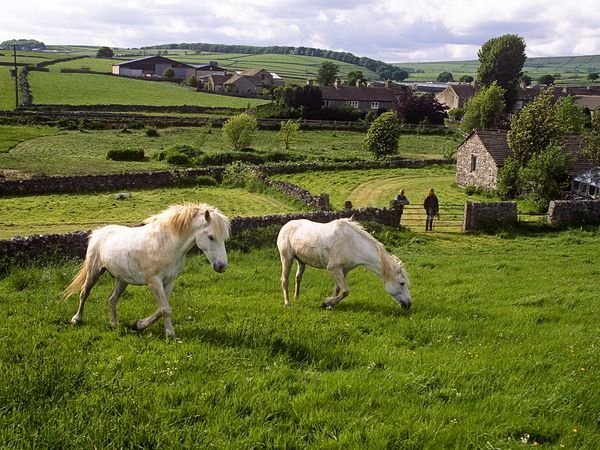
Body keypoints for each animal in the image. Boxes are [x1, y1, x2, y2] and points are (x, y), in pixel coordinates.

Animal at [61, 202, 230, 336]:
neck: (166, 244)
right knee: (84, 293)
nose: (222, 266)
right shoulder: (154, 281)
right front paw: (170, 334)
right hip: (94, 271)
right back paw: (76, 319)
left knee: (112, 299)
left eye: (224, 237)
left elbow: (161, 308)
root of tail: (97, 233)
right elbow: (165, 309)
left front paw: (138, 325)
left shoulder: (169, 282)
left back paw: (114, 323)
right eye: (210, 236)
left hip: (122, 280)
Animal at [278, 218, 412, 310]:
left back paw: (296, 298)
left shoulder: (344, 270)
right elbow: (345, 291)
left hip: (301, 261)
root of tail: (285, 226)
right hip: (287, 258)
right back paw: (287, 303)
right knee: (284, 280)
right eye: (402, 283)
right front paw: (326, 303)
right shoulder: (334, 268)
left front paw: (330, 305)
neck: (353, 244)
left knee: (298, 278)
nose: (409, 304)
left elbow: (338, 289)